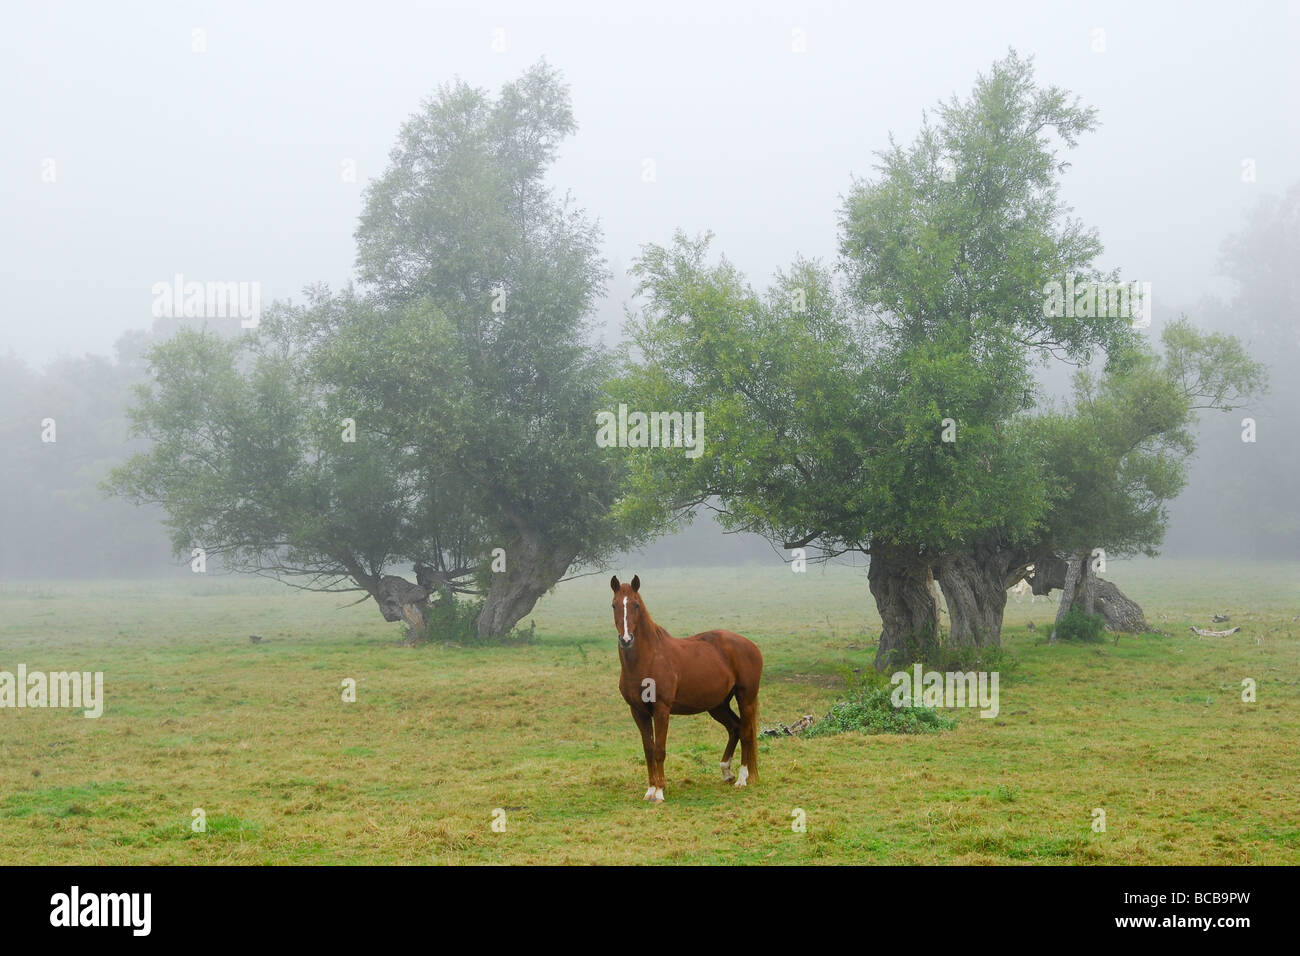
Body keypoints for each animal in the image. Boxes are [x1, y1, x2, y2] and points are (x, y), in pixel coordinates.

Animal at [611, 572, 759, 806]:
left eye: (635, 604)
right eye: (614, 605)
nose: (626, 639)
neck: (648, 659)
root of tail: (751, 646)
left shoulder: (661, 710)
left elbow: (660, 749)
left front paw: (660, 792)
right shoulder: (638, 712)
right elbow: (648, 749)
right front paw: (650, 790)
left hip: (746, 698)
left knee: (745, 732)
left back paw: (742, 779)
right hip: (718, 705)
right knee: (734, 728)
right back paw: (726, 771)